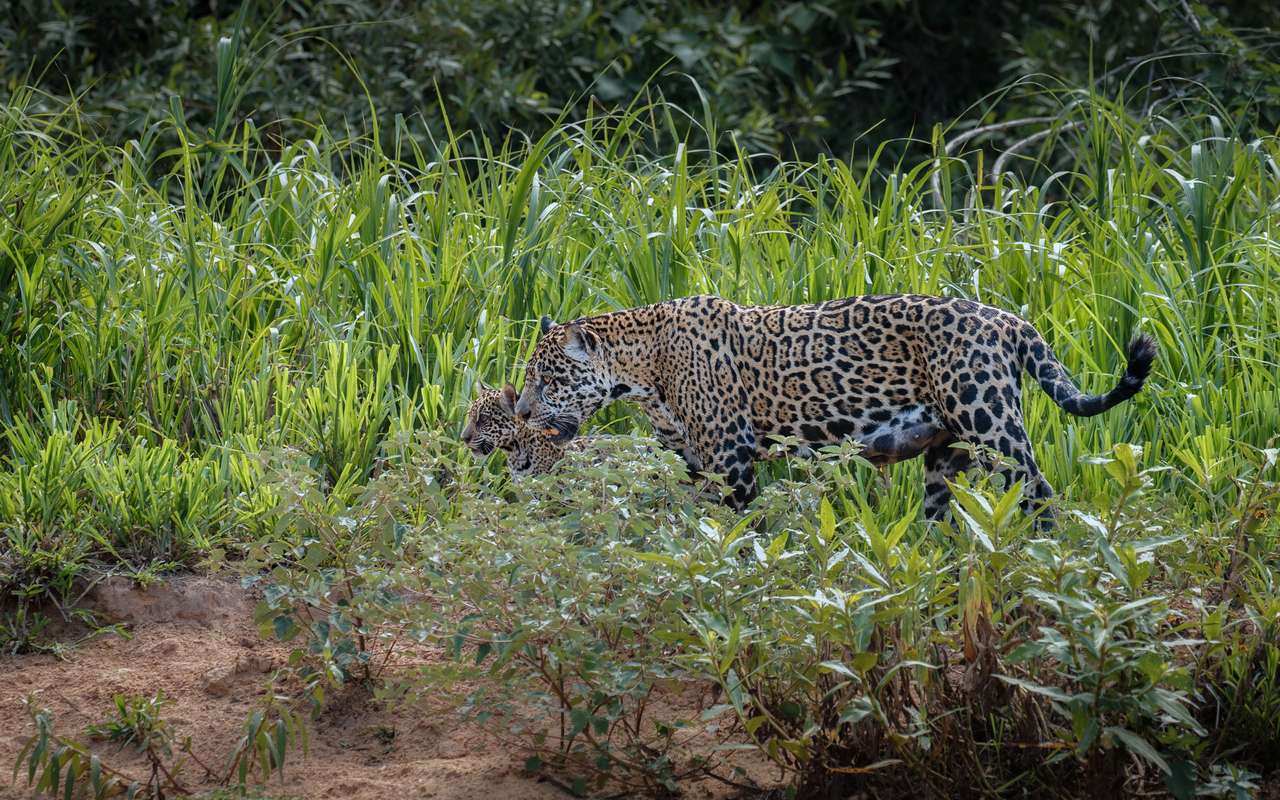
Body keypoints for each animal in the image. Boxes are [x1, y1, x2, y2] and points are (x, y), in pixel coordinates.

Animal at [512, 293, 1157, 524]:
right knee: (940, 515)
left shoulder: (732, 457)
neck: (644, 373)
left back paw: (1041, 555)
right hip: (946, 451)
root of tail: (1009, 319)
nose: (518, 413)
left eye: (546, 378)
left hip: (990, 423)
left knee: (1039, 490)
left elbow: (736, 526)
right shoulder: (695, 462)